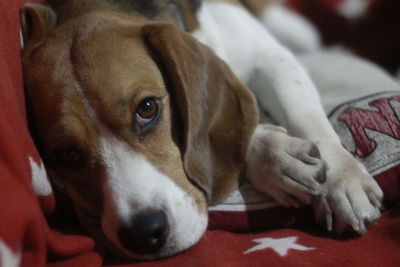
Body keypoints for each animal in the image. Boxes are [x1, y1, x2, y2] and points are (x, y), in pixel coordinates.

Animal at [20, 0, 382, 262]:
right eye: (66, 155)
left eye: (147, 109)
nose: (143, 234)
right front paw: (274, 155)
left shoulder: (269, 56)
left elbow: (302, 113)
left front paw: (341, 180)